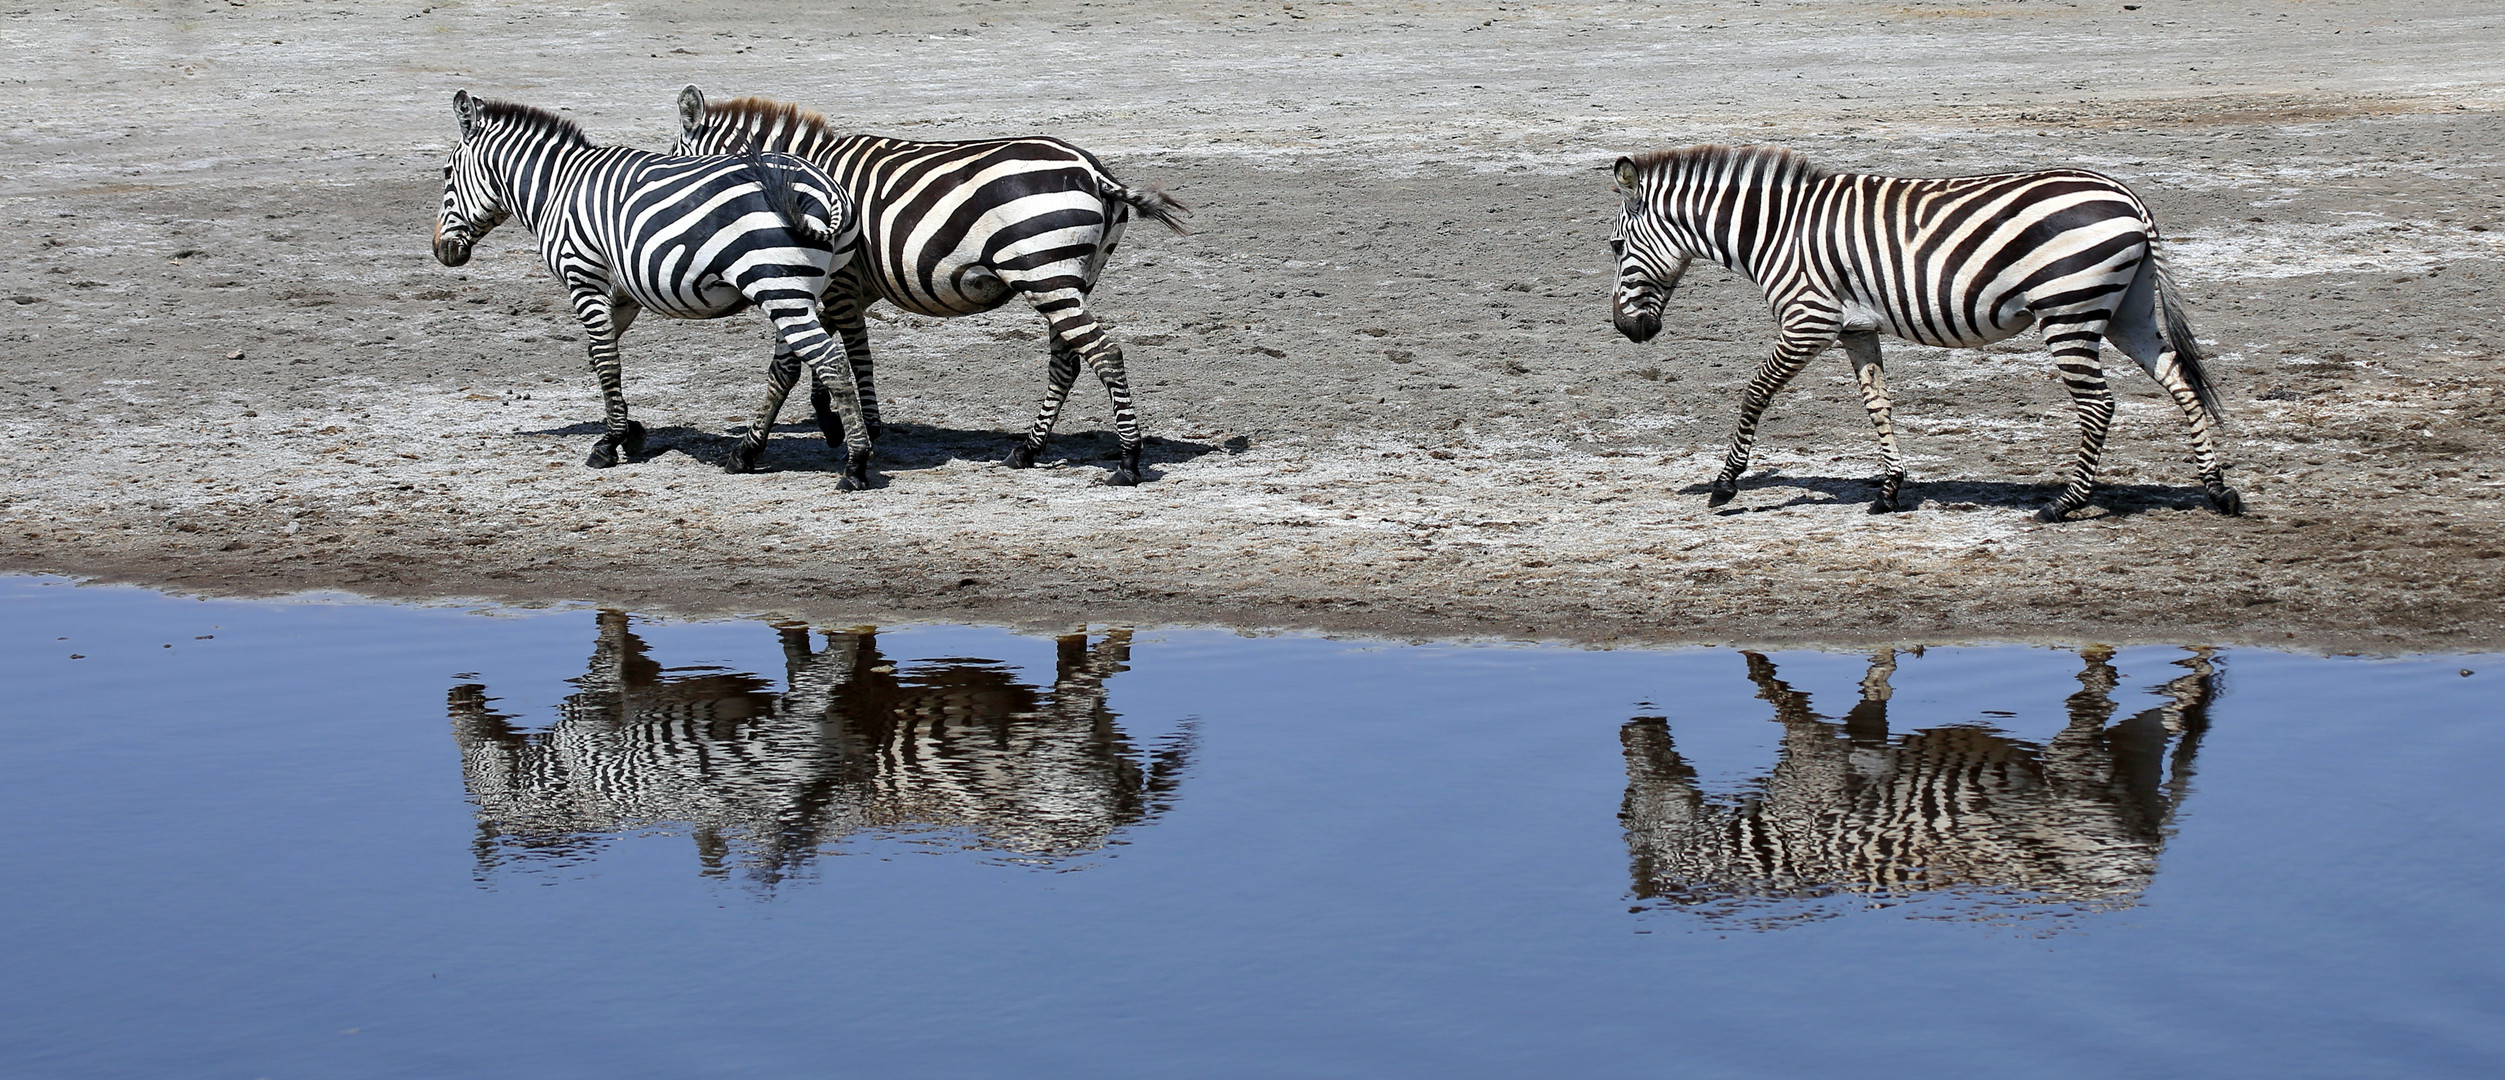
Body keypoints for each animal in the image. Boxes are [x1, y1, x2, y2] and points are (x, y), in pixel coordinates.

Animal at [420, 88, 871, 486]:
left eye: (446, 173)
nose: (441, 250)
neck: (557, 189)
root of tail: (827, 191)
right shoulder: (623, 292)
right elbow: (598, 355)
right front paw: (631, 429)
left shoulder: (583, 275)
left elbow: (606, 360)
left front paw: (608, 443)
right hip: (797, 290)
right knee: (788, 366)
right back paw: (745, 452)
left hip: (779, 288)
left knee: (830, 361)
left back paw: (856, 464)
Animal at [671, 88, 1187, 486]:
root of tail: (1092, 169)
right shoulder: (840, 287)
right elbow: (820, 358)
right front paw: (834, 422)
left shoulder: (832, 283)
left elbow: (816, 362)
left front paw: (773, 447)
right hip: (1072, 279)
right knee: (1068, 361)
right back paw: (1026, 450)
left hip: (1045, 275)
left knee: (1103, 352)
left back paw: (1128, 461)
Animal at [1613, 145, 2244, 526]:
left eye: (1617, 248)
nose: (1627, 329)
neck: (1775, 231)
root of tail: (2128, 198)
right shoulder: (1856, 328)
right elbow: (1878, 404)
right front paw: (1890, 490)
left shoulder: (1809, 320)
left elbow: (1756, 392)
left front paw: (1725, 485)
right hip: (2125, 311)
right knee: (2180, 380)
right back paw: (2218, 491)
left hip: (2068, 311)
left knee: (2099, 405)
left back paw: (2063, 505)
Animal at [1613, 646, 2224, 927]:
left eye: (1623, 811)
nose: (1628, 727)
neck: (1768, 842)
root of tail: (2141, 873)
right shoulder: (1856, 736)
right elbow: (1875, 685)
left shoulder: (1814, 756)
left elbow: (1768, 688)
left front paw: (1752, 653)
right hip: (2134, 753)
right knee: (2173, 713)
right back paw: (2203, 663)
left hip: (2076, 773)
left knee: (2102, 694)